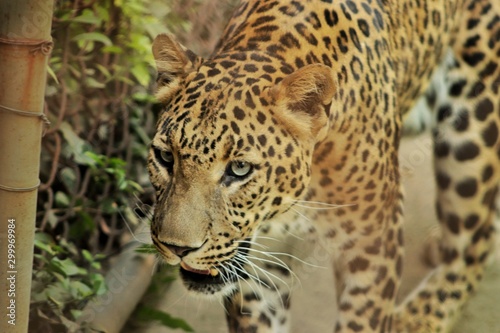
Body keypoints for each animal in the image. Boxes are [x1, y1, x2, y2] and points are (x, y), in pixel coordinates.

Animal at [147, 1, 500, 330]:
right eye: (166, 158)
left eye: (239, 169)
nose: (177, 249)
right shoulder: (259, 260)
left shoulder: (374, 241)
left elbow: (364, 320)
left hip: (473, 126)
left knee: (473, 245)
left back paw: (417, 319)